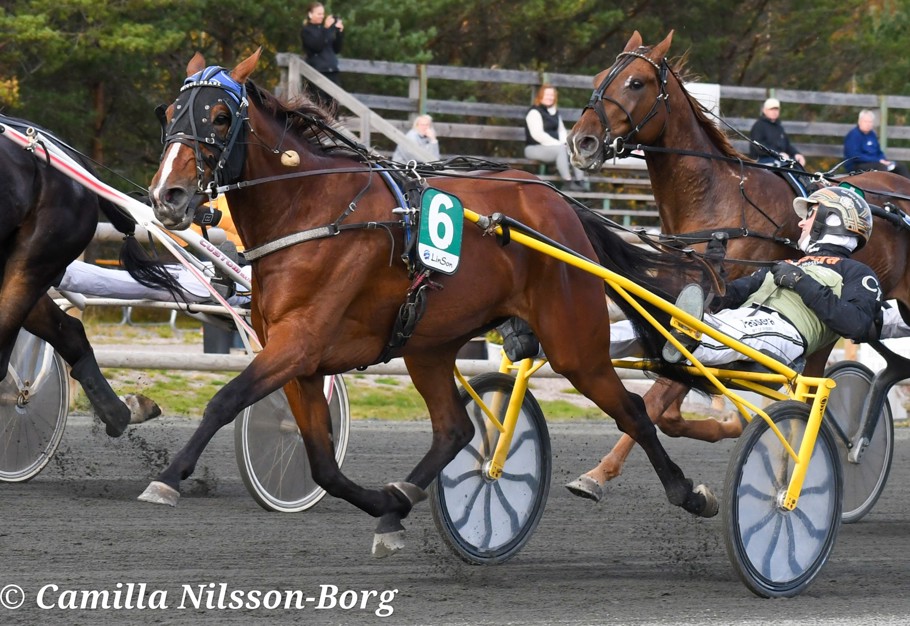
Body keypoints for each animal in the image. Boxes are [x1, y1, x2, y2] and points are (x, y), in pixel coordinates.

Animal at [143, 48, 728, 555]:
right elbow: (323, 465)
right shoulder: (300, 361)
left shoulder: (299, 343)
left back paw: (689, 493)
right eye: (169, 112)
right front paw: (386, 503)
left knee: (634, 411)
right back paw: (400, 502)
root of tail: (562, 206)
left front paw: (168, 477)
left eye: (220, 116)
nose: (167, 196)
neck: (314, 212)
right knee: (455, 429)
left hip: (574, 344)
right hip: (428, 345)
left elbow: (225, 400)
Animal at [563, 30, 910, 496]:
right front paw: (731, 426)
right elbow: (671, 407)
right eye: (600, 76)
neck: (719, 200)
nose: (581, 142)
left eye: (636, 82)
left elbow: (657, 402)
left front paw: (601, 473)